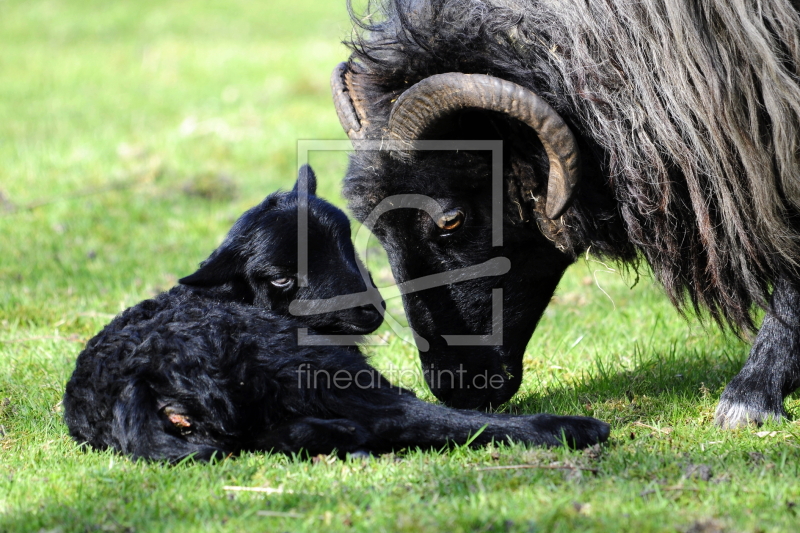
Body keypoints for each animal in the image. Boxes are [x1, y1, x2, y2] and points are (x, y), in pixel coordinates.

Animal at [64, 166, 612, 462]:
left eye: (343, 238)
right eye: (279, 277)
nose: (369, 309)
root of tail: (139, 386)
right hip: (305, 367)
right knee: (405, 418)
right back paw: (570, 428)